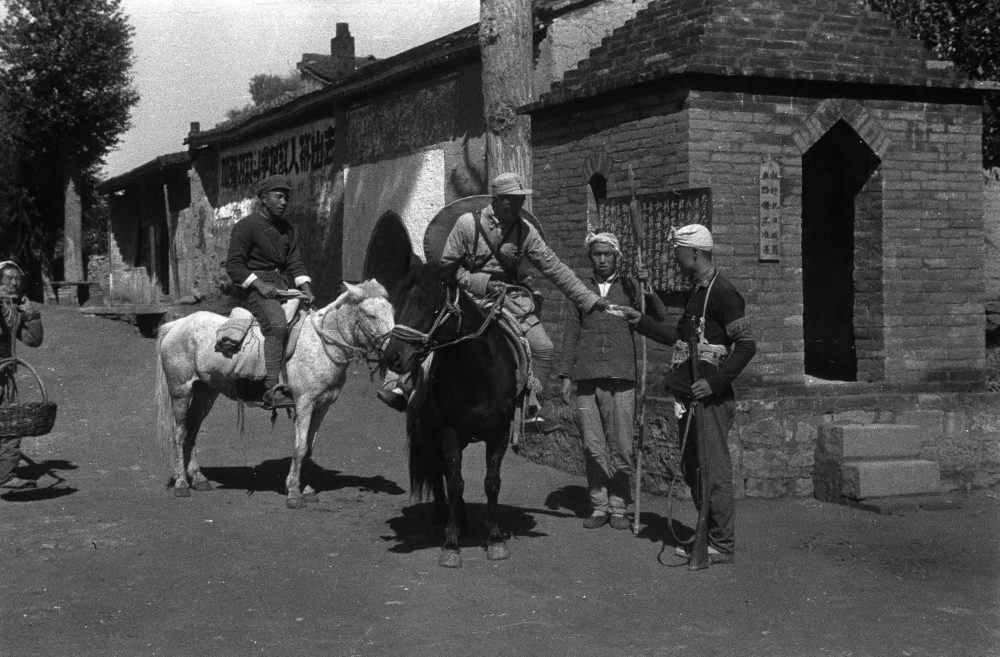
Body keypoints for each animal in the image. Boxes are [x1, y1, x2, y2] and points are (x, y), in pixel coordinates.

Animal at [152, 280, 394, 510]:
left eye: (391, 311)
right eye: (370, 315)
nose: (393, 350)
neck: (320, 344)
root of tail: (176, 325)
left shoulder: (322, 406)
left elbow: (309, 448)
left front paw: (307, 490)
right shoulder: (304, 404)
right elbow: (300, 447)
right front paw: (294, 494)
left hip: (206, 392)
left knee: (192, 431)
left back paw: (199, 479)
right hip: (181, 391)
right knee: (179, 433)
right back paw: (182, 484)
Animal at [382, 262, 524, 568]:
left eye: (427, 305)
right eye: (399, 304)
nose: (392, 357)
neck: (476, 374)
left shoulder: (499, 432)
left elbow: (491, 483)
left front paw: (495, 540)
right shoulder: (448, 431)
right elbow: (456, 482)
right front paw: (451, 544)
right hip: (429, 430)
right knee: (440, 472)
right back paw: (443, 517)